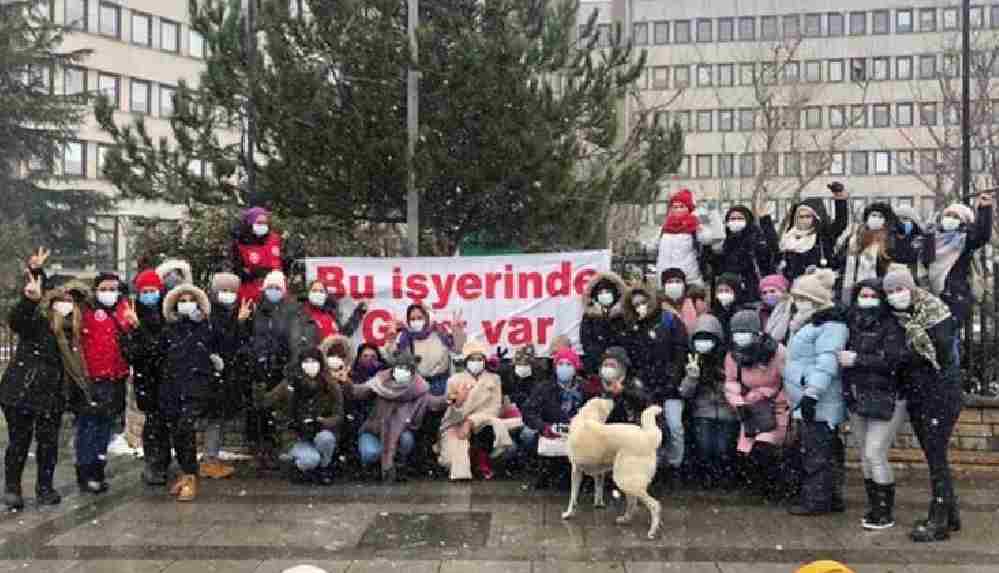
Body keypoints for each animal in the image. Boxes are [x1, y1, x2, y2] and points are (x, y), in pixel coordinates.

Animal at [564, 398, 664, 536]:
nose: (611, 398)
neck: (587, 416)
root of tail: (648, 438)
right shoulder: (599, 473)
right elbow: (598, 490)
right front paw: (598, 505)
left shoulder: (576, 470)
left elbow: (573, 496)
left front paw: (568, 514)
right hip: (627, 479)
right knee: (633, 503)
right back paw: (625, 520)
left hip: (624, 479)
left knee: (654, 505)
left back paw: (652, 531)